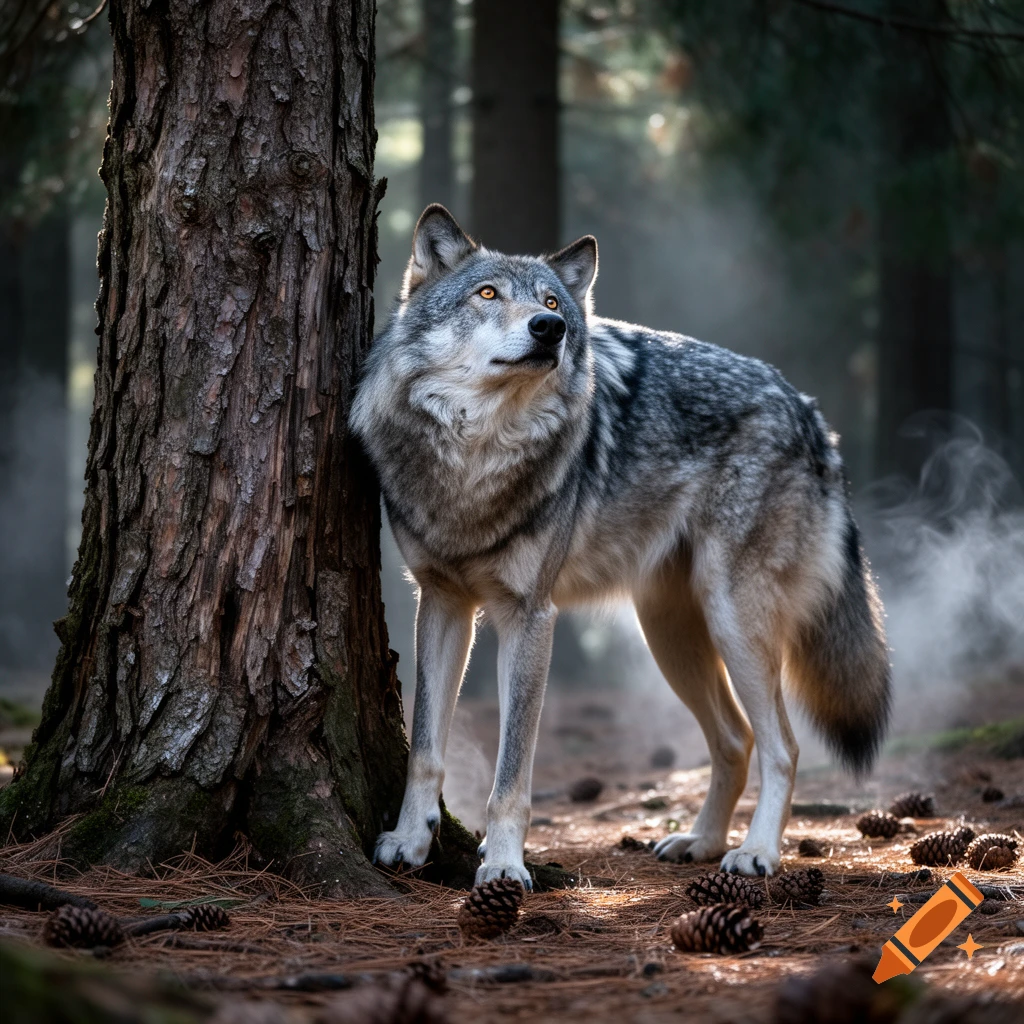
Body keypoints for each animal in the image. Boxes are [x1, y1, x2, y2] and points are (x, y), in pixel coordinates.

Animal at [350, 204, 890, 885]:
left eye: (552, 301)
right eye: (488, 293)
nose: (551, 328)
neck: (476, 459)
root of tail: (806, 407)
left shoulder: (530, 618)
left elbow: (512, 774)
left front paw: (503, 866)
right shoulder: (442, 603)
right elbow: (424, 747)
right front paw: (408, 841)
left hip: (734, 620)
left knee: (783, 748)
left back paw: (757, 852)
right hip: (668, 631)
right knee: (735, 741)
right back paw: (699, 842)